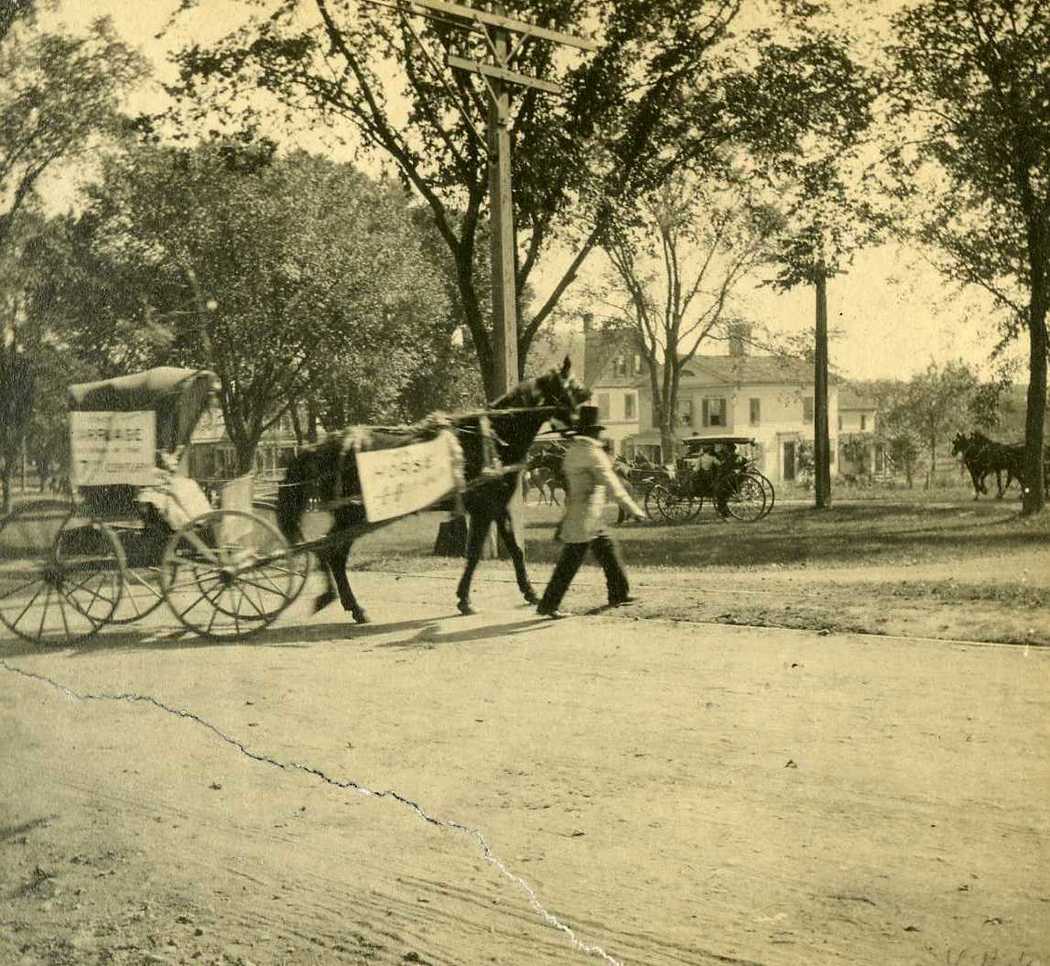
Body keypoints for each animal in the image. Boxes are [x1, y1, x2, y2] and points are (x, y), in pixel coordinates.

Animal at [275, 359, 592, 621]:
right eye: (574, 387)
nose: (590, 416)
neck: (491, 437)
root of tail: (327, 445)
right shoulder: (483, 509)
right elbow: (474, 554)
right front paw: (465, 599)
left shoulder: (497, 506)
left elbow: (514, 550)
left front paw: (530, 593)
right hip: (354, 515)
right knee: (333, 553)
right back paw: (352, 605)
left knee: (329, 550)